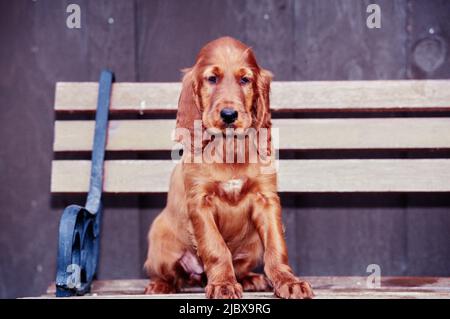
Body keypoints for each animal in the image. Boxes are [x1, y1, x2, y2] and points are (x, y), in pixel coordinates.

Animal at [144, 37, 312, 300]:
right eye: (212, 78)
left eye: (245, 80)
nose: (229, 114)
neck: (229, 147)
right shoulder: (200, 202)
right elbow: (216, 247)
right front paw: (223, 284)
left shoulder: (266, 199)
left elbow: (276, 245)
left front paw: (288, 281)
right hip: (161, 241)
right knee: (173, 275)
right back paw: (160, 285)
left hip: (253, 244)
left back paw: (251, 278)